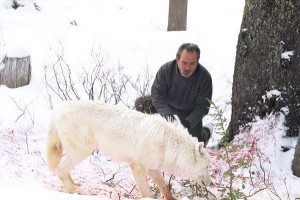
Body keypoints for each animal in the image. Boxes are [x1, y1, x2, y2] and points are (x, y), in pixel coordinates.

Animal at [45, 101, 212, 199]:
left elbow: (165, 187)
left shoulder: (153, 168)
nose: (210, 183)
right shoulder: (138, 167)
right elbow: (147, 193)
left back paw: (75, 184)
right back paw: (75, 192)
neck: (168, 144)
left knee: (63, 169)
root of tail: (57, 109)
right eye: (207, 166)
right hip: (82, 151)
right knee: (60, 170)